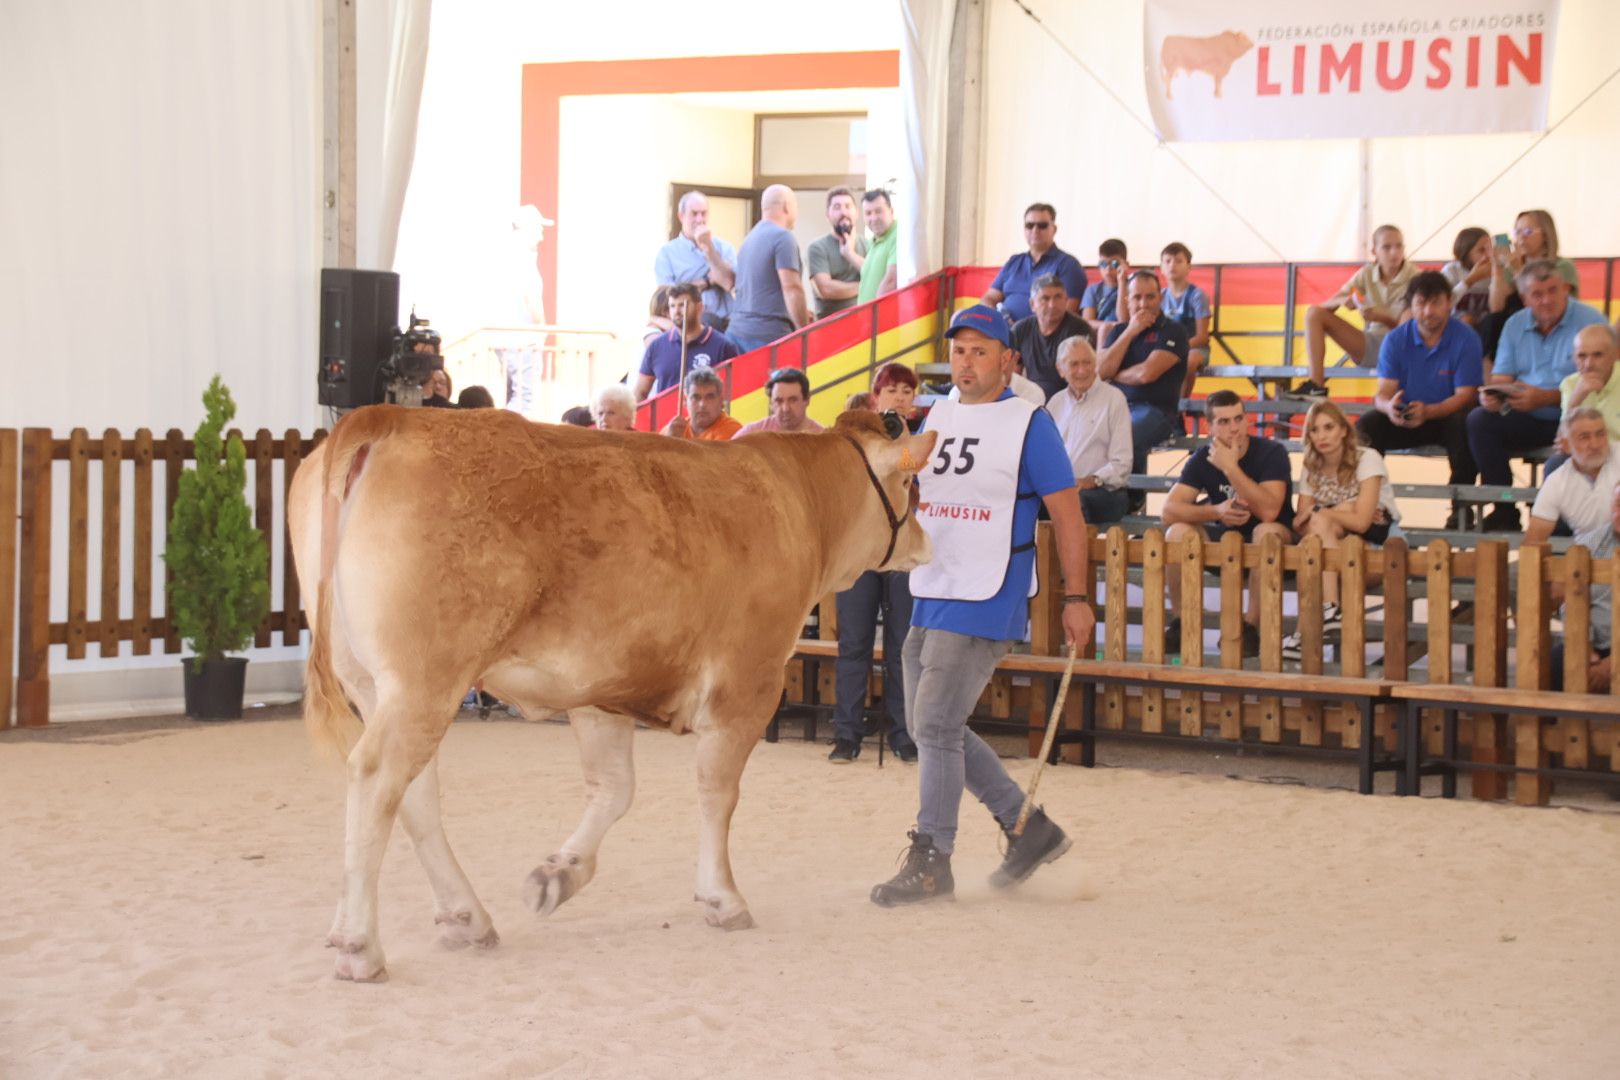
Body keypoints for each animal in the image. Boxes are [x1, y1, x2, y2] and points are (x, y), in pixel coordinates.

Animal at [285, 403, 933, 977]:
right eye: (911, 485)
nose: (926, 544)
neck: (798, 502)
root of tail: (387, 417)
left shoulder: (601, 688)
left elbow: (614, 789)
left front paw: (558, 876)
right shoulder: (749, 682)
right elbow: (717, 792)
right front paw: (722, 897)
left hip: (374, 684)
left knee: (412, 793)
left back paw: (465, 918)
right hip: (424, 680)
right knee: (375, 778)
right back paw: (359, 944)